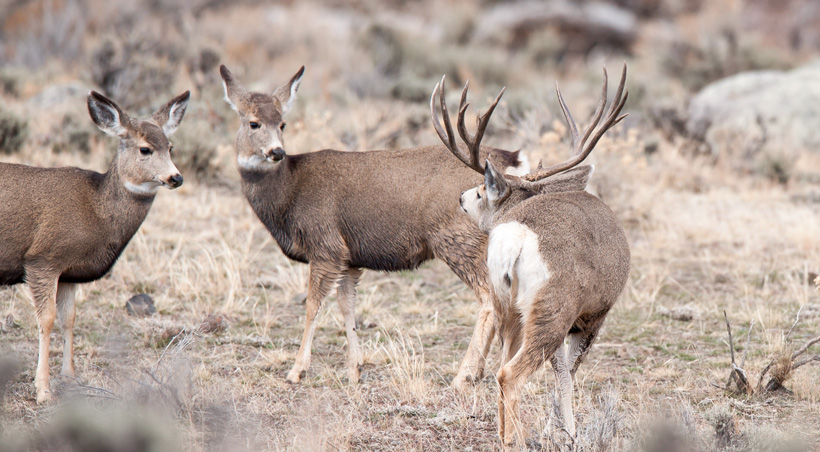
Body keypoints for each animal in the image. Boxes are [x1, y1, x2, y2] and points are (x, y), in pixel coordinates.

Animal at [0, 90, 189, 400]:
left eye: (171, 146)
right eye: (145, 149)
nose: (176, 177)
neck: (97, 209)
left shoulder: (68, 272)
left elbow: (69, 319)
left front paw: (71, 377)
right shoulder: (43, 259)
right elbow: (46, 319)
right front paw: (43, 389)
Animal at [218, 65, 544, 386]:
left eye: (283, 123)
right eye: (253, 123)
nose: (276, 152)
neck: (289, 191)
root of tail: (512, 162)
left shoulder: (325, 245)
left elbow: (312, 306)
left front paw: (297, 371)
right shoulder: (348, 258)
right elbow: (347, 306)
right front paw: (355, 369)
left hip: (457, 238)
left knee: (489, 299)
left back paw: (463, 375)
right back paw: (475, 372)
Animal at [432, 65, 632, 446]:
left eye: (481, 193)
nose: (461, 197)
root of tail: (518, 238)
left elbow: (560, 372)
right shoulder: (593, 315)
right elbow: (567, 374)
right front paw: (567, 432)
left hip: (506, 306)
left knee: (501, 367)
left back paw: (504, 434)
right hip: (552, 308)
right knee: (512, 372)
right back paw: (517, 440)